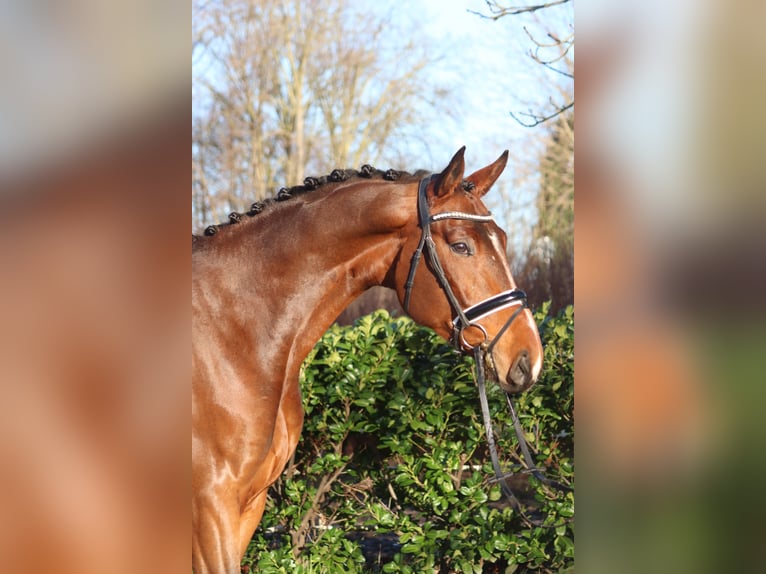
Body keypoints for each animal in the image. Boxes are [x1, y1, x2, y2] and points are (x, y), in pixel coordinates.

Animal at [190, 147, 544, 572]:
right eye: (461, 245)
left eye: (503, 240)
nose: (528, 358)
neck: (234, 333)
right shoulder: (212, 508)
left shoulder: (249, 505)